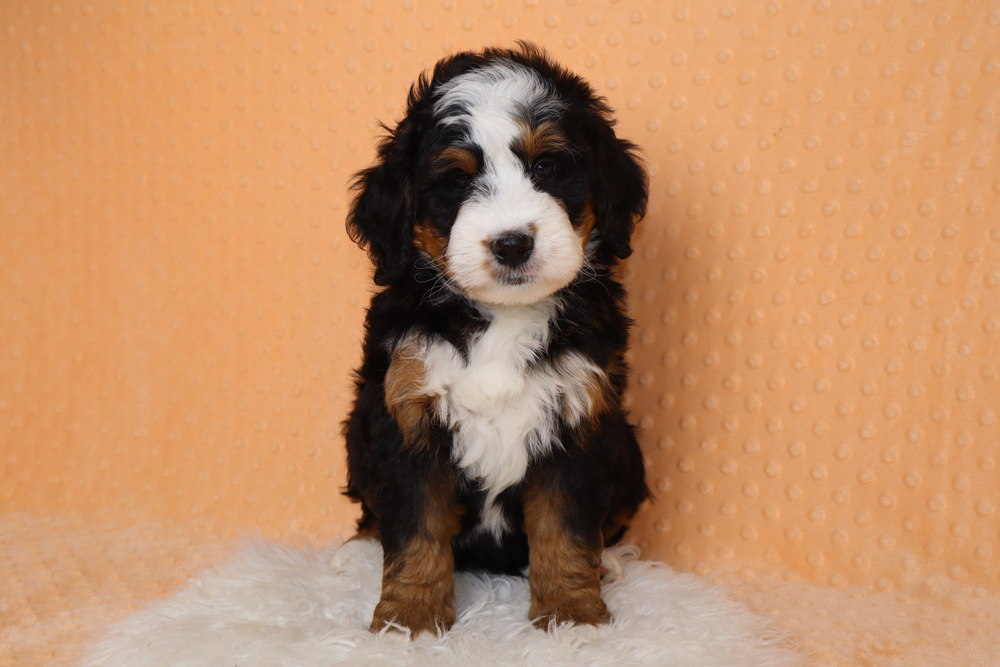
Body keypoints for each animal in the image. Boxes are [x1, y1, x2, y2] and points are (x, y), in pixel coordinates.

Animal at [342, 43, 650, 636]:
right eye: (457, 181)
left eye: (546, 167)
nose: (511, 244)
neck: (503, 317)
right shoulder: (407, 413)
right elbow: (415, 528)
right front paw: (409, 619)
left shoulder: (579, 415)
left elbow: (566, 529)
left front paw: (571, 614)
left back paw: (611, 564)